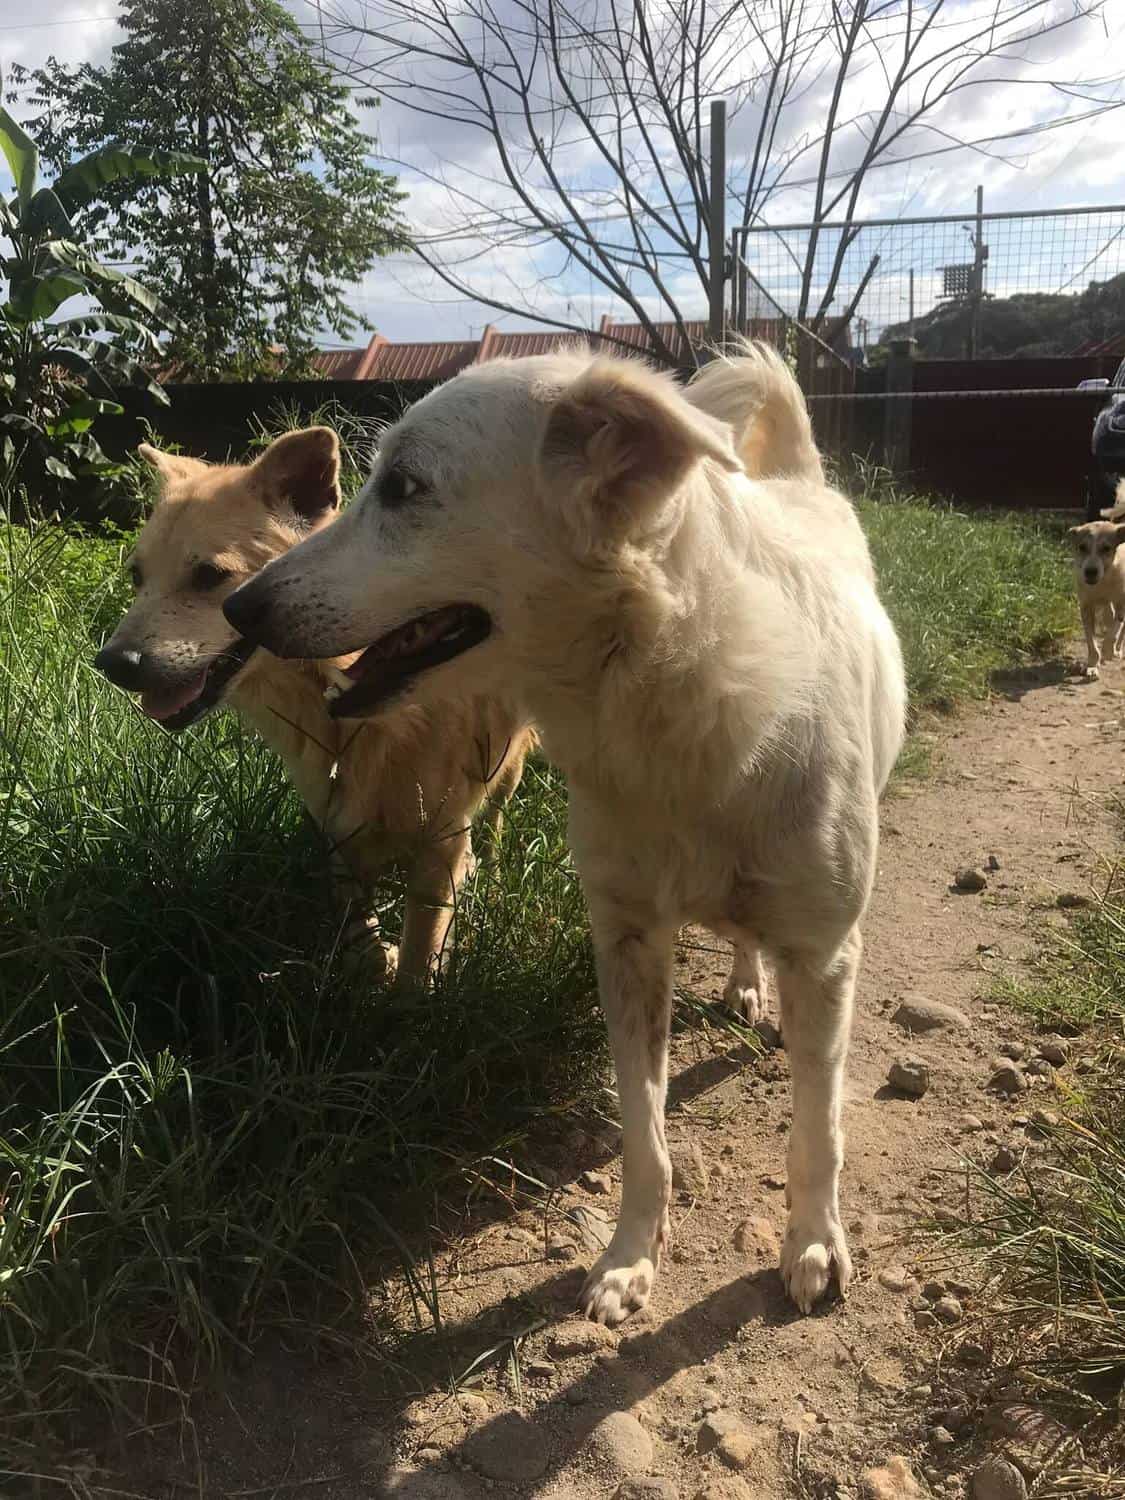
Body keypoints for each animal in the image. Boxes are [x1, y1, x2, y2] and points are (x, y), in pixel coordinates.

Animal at [94, 429, 534, 984]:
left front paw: (410, 994)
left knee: (495, 821)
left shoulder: (442, 837)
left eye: (209, 575)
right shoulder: (337, 825)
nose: (111, 663)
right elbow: (360, 929)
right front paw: (373, 964)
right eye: (136, 576)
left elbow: (420, 950)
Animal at [225, 343, 912, 1326]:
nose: (238, 607)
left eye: (403, 486)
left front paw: (813, 1244)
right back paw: (744, 983)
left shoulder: (824, 955)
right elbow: (644, 1134)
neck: (664, 698)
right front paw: (628, 1260)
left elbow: (815, 1132)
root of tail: (798, 484)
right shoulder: (624, 946)